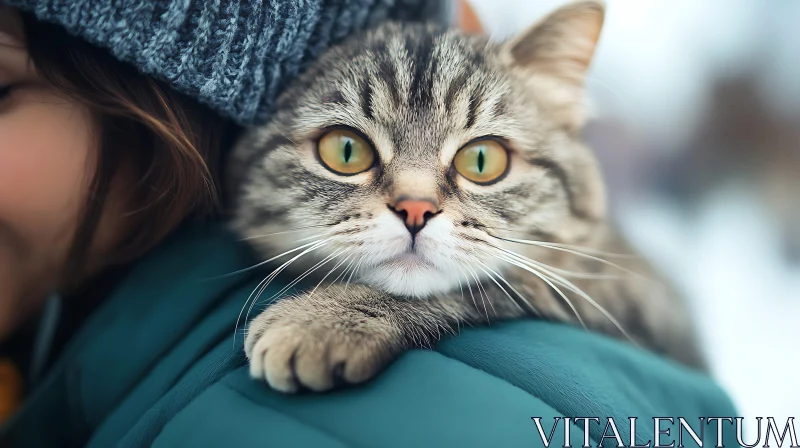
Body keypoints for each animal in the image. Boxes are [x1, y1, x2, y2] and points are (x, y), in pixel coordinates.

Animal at [228, 0, 704, 392]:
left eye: (481, 160)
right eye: (346, 151)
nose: (415, 209)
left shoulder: (632, 300)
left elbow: (490, 285)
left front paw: (323, 318)